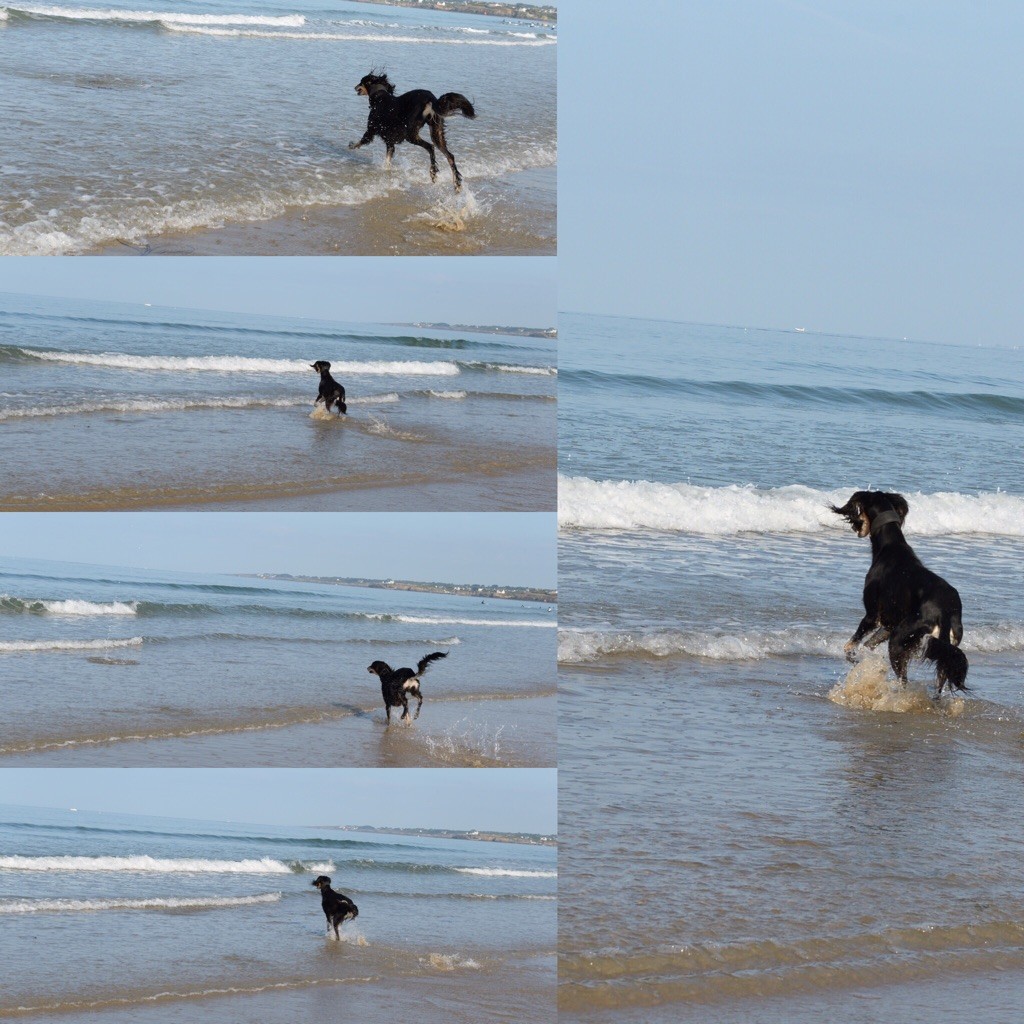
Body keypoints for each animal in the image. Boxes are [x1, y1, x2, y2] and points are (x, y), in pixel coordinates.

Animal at [831, 487, 966, 696]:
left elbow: (850, 647)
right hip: (943, 647)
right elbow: (867, 647)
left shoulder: (872, 616)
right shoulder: (889, 624)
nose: (855, 528)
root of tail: (945, 611)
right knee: (939, 683)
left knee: (904, 681)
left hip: (899, 639)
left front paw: (856, 662)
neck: (890, 545)